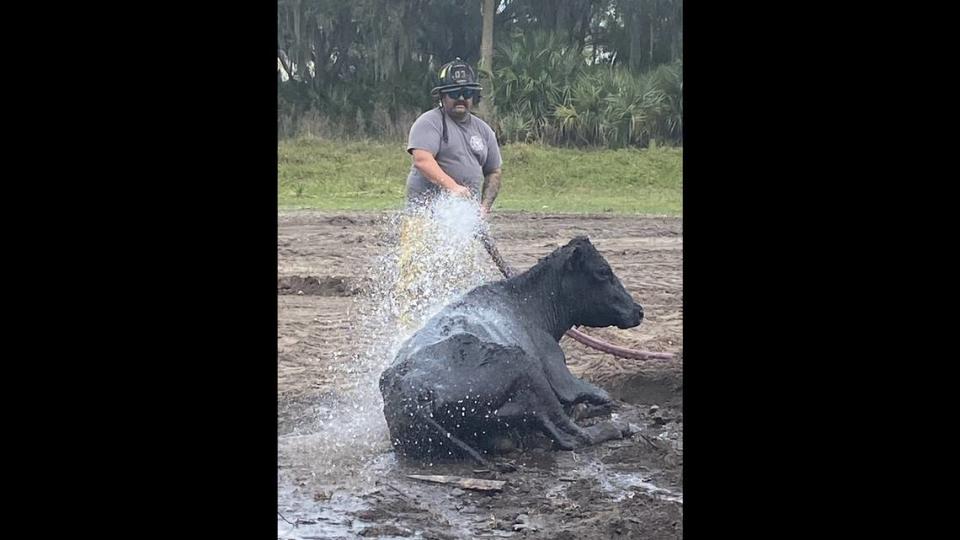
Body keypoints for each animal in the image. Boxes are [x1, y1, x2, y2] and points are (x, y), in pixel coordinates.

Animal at [376, 236, 644, 468]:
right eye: (603, 271)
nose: (639, 310)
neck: (527, 304)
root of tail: (410, 391)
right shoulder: (561, 374)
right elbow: (599, 394)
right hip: (528, 372)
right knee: (570, 436)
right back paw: (616, 428)